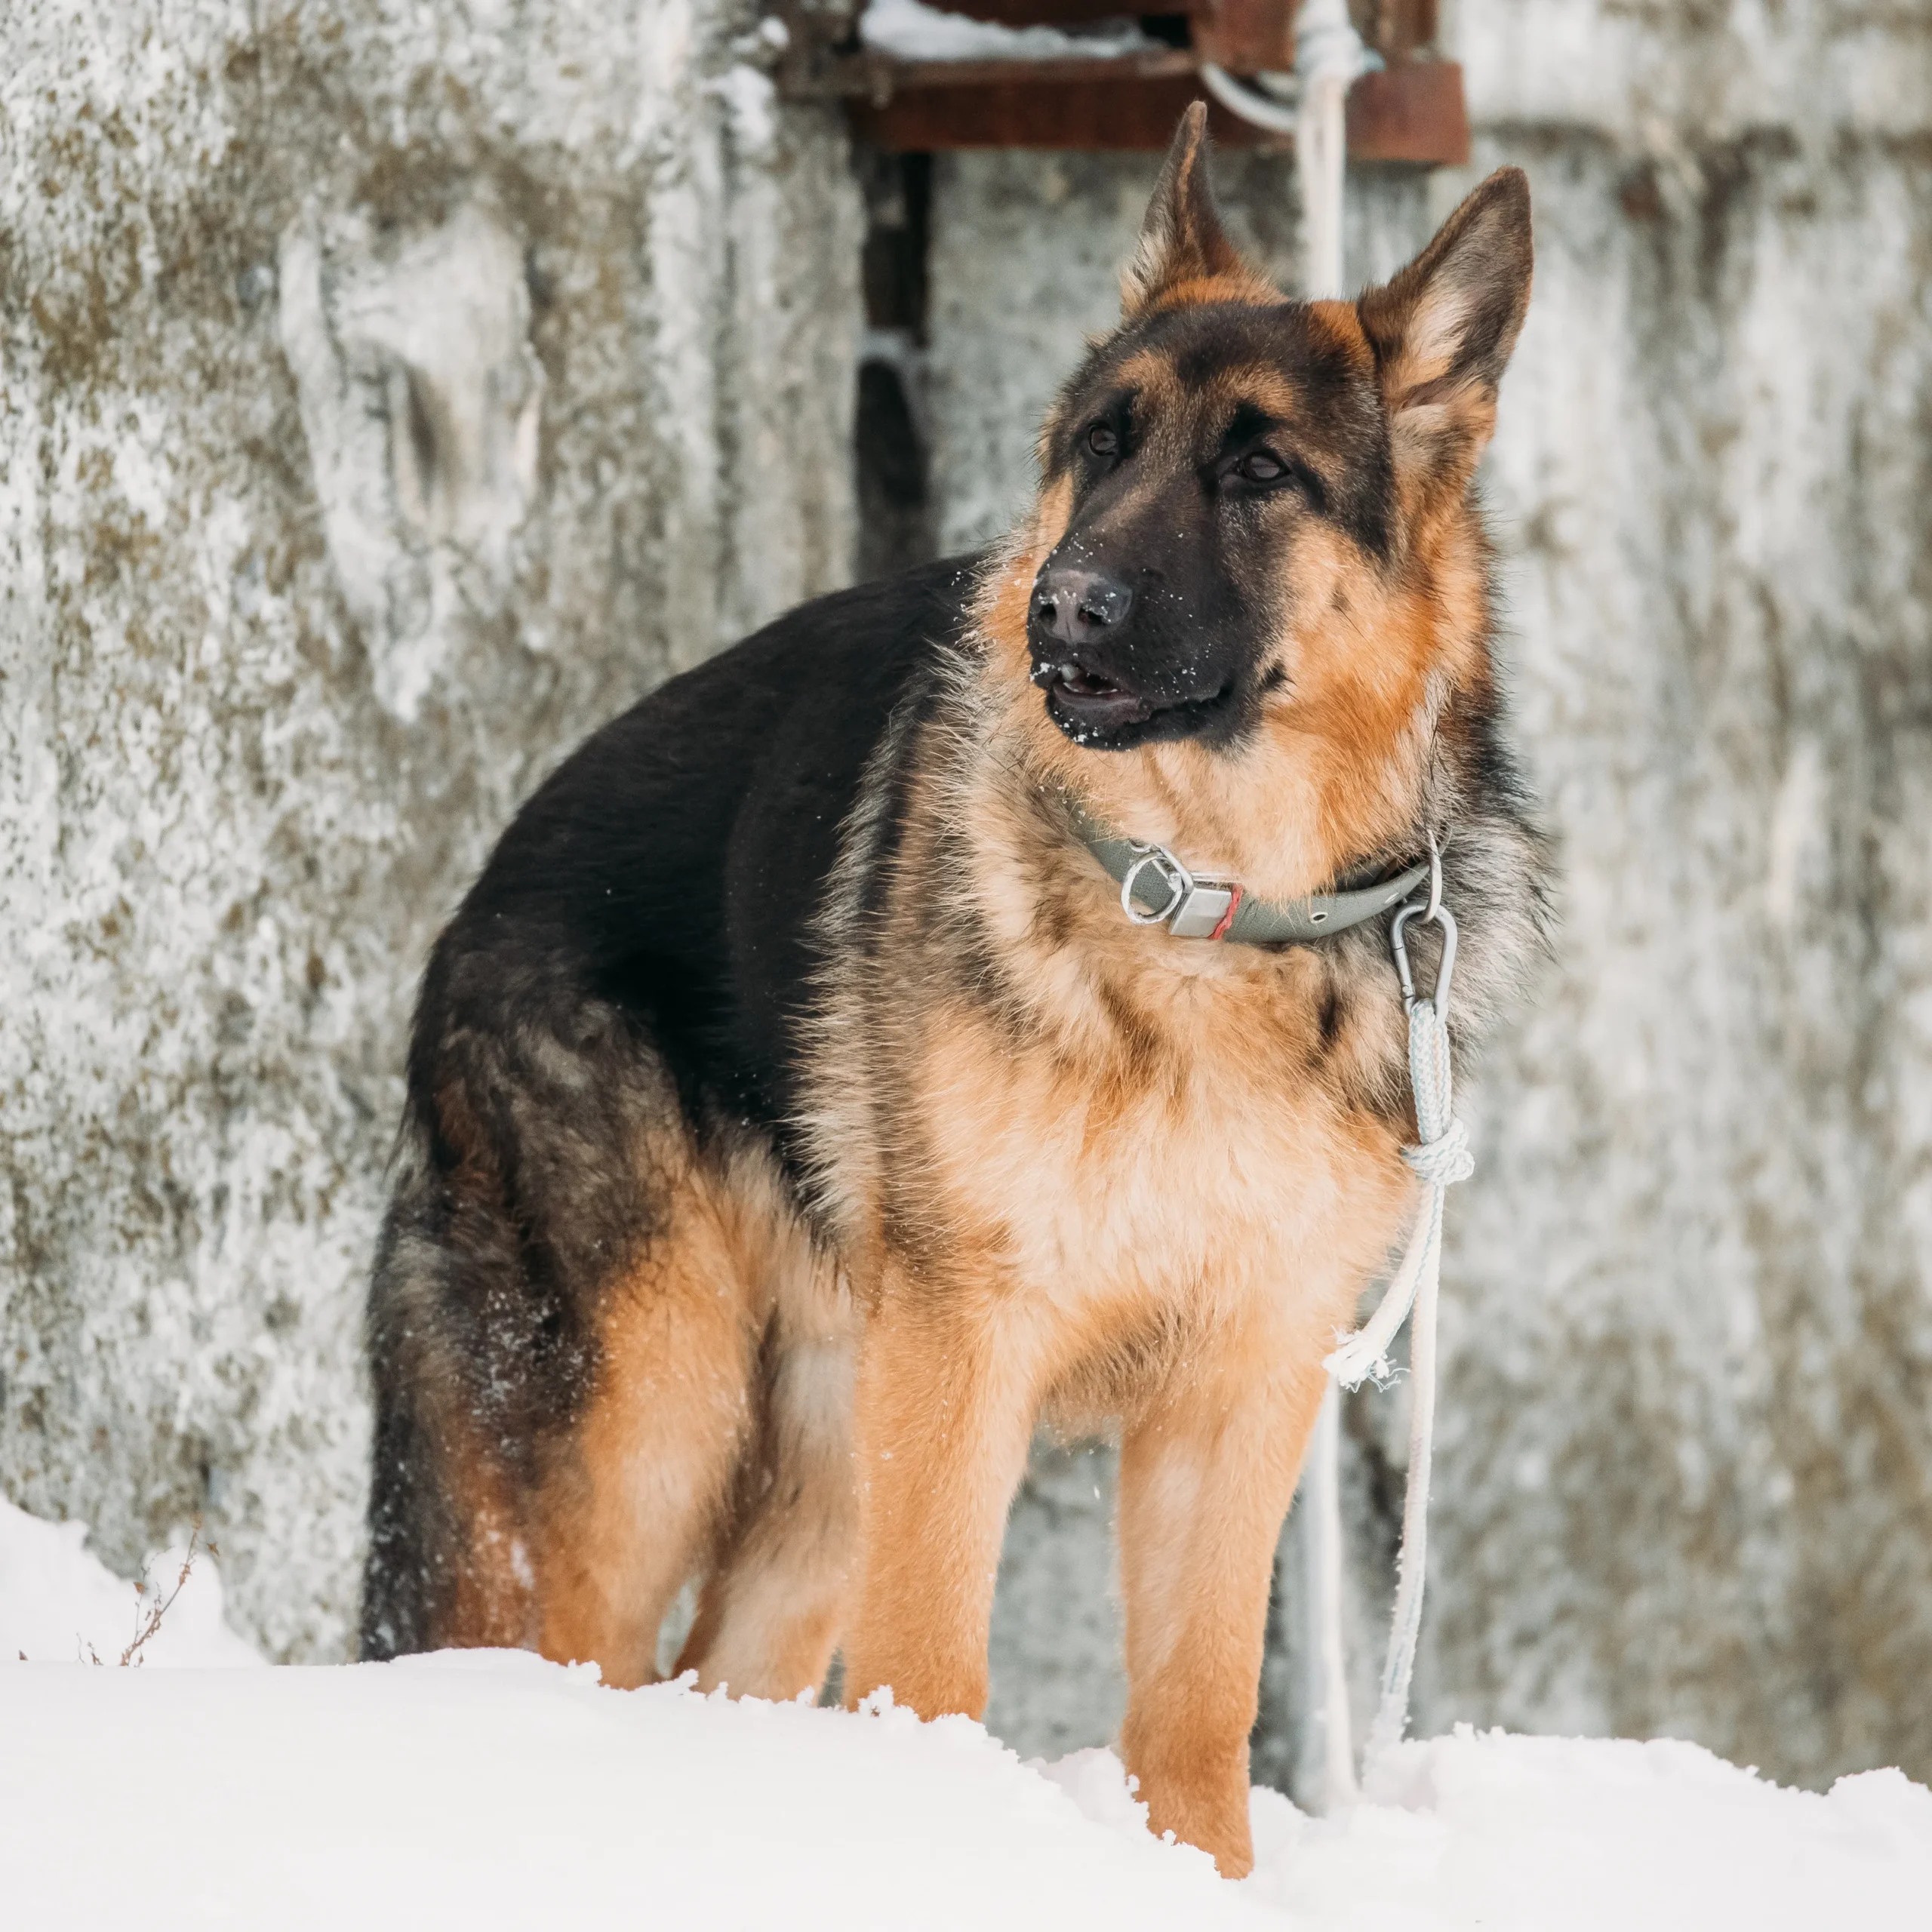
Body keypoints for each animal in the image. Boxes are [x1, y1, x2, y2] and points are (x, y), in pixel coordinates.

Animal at [359, 106, 1537, 1870]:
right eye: (1098, 449)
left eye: (1259, 471)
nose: (1063, 603)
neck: (1200, 900)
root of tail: (477, 898)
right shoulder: (968, 1354)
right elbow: (930, 1677)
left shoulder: (1238, 1391)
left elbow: (1192, 1724)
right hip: (651, 1426)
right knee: (545, 1655)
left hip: (826, 1454)